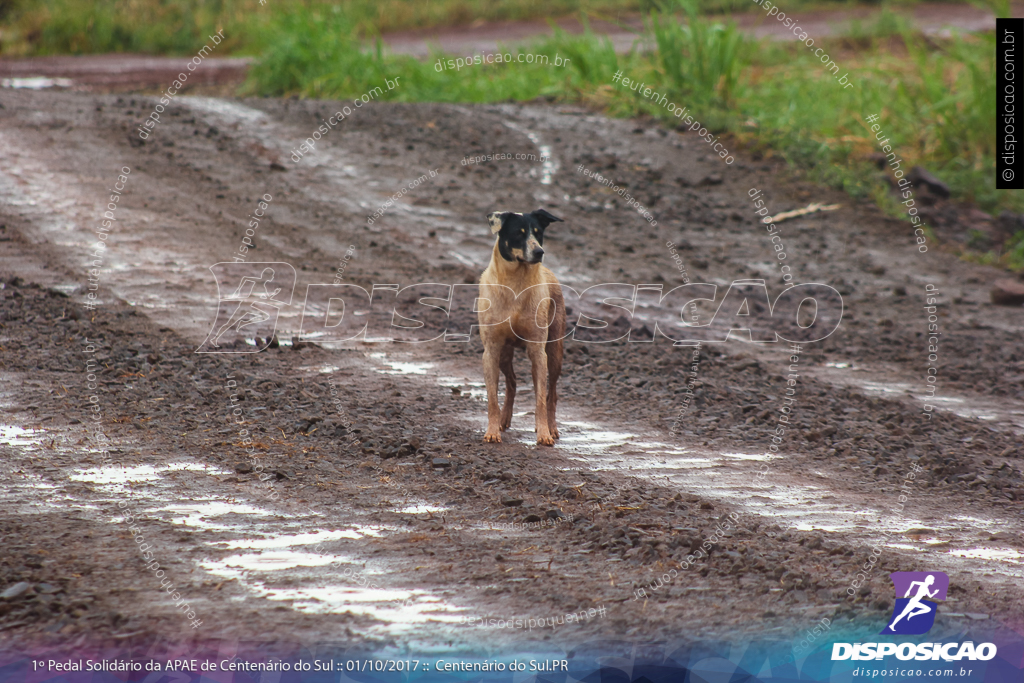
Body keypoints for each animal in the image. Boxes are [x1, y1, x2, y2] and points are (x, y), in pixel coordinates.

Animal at [475, 208, 565, 446]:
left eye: (539, 232)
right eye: (518, 233)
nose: (539, 252)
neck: (516, 285)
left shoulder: (538, 351)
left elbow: (541, 399)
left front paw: (544, 434)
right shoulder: (491, 350)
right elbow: (492, 398)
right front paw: (492, 432)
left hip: (554, 352)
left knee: (552, 393)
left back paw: (552, 428)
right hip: (504, 354)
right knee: (512, 382)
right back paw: (503, 421)